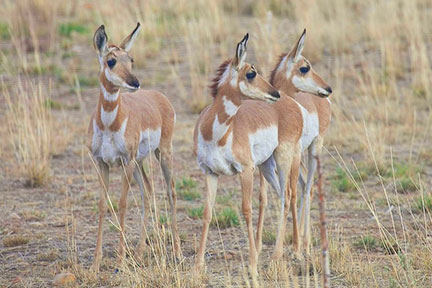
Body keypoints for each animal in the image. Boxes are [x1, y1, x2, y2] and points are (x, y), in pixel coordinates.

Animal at [89, 23, 181, 272]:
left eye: (131, 59)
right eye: (111, 60)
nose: (135, 82)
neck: (110, 124)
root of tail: (160, 97)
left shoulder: (125, 162)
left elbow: (122, 204)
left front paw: (120, 262)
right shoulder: (102, 164)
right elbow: (103, 204)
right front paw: (95, 262)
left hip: (162, 154)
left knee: (171, 191)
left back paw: (177, 254)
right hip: (139, 163)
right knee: (147, 192)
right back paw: (139, 253)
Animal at [194, 33, 306, 280]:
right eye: (251, 73)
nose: (274, 93)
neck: (217, 134)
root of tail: (291, 102)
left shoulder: (245, 171)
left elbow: (246, 210)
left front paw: (253, 265)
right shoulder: (210, 172)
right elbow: (207, 212)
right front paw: (198, 265)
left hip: (284, 159)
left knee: (287, 196)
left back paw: (277, 256)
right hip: (266, 166)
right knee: (281, 195)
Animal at [264, 29, 332, 253]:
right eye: (304, 68)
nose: (327, 88)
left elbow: (291, 194)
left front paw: (296, 247)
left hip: (313, 150)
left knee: (308, 187)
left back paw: (306, 242)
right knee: (303, 186)